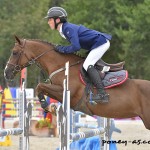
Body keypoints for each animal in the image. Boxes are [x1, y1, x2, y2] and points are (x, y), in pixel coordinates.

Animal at [4, 35, 150, 130]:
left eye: (14, 52)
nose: (6, 73)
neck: (61, 65)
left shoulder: (66, 92)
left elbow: (40, 86)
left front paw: (48, 106)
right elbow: (40, 87)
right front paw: (50, 107)